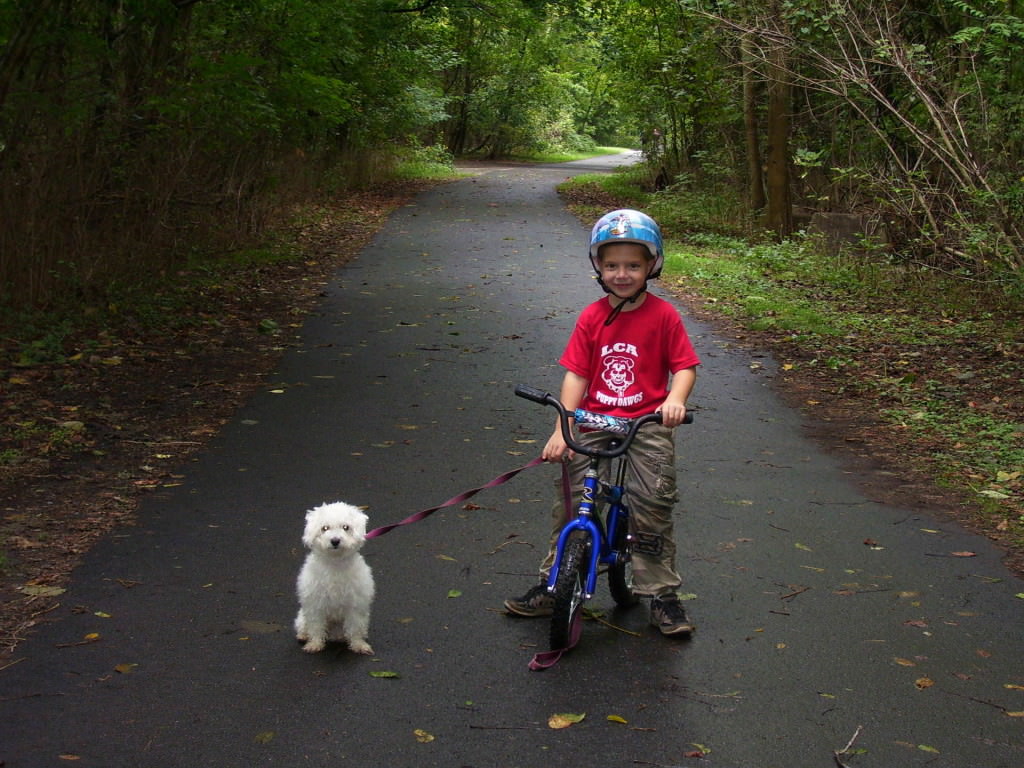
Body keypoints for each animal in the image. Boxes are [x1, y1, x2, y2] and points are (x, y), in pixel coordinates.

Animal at [294, 501, 374, 659]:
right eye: (325, 528)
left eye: (346, 527)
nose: (335, 540)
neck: (335, 564)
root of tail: (334, 634)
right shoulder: (315, 606)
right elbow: (316, 627)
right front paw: (315, 644)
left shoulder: (355, 606)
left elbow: (355, 628)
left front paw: (358, 645)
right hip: (302, 616)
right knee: (304, 626)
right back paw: (303, 635)